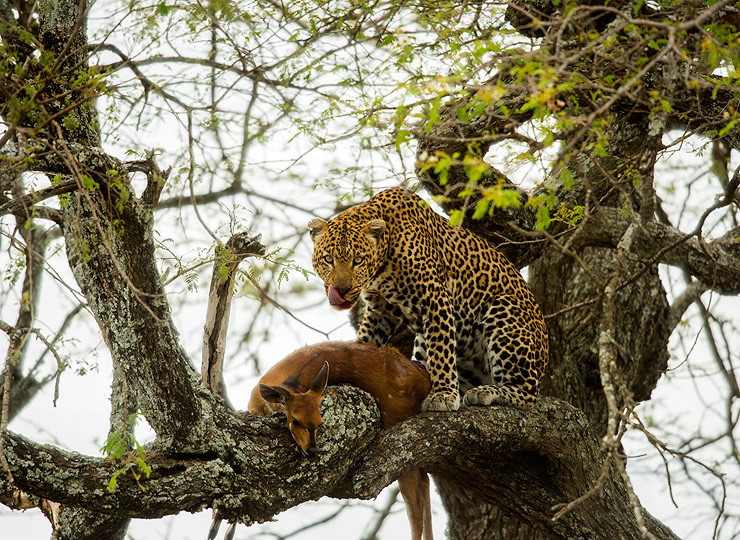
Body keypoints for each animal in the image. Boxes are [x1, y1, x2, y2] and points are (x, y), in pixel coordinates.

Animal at [308, 188, 548, 412]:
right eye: (328, 259)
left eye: (358, 260)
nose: (341, 290)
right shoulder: (380, 309)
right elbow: (367, 339)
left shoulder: (435, 297)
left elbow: (441, 350)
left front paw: (443, 395)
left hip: (504, 309)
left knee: (527, 392)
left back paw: (485, 392)